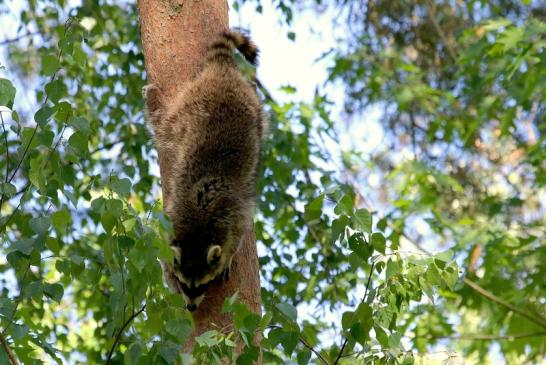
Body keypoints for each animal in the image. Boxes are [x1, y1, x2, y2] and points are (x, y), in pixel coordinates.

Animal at [143, 29, 264, 312]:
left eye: (201, 286)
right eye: (185, 284)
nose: (191, 308)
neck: (198, 232)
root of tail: (222, 73)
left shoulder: (233, 214)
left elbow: (237, 236)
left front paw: (228, 258)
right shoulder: (172, 218)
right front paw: (168, 274)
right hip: (190, 109)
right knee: (164, 125)